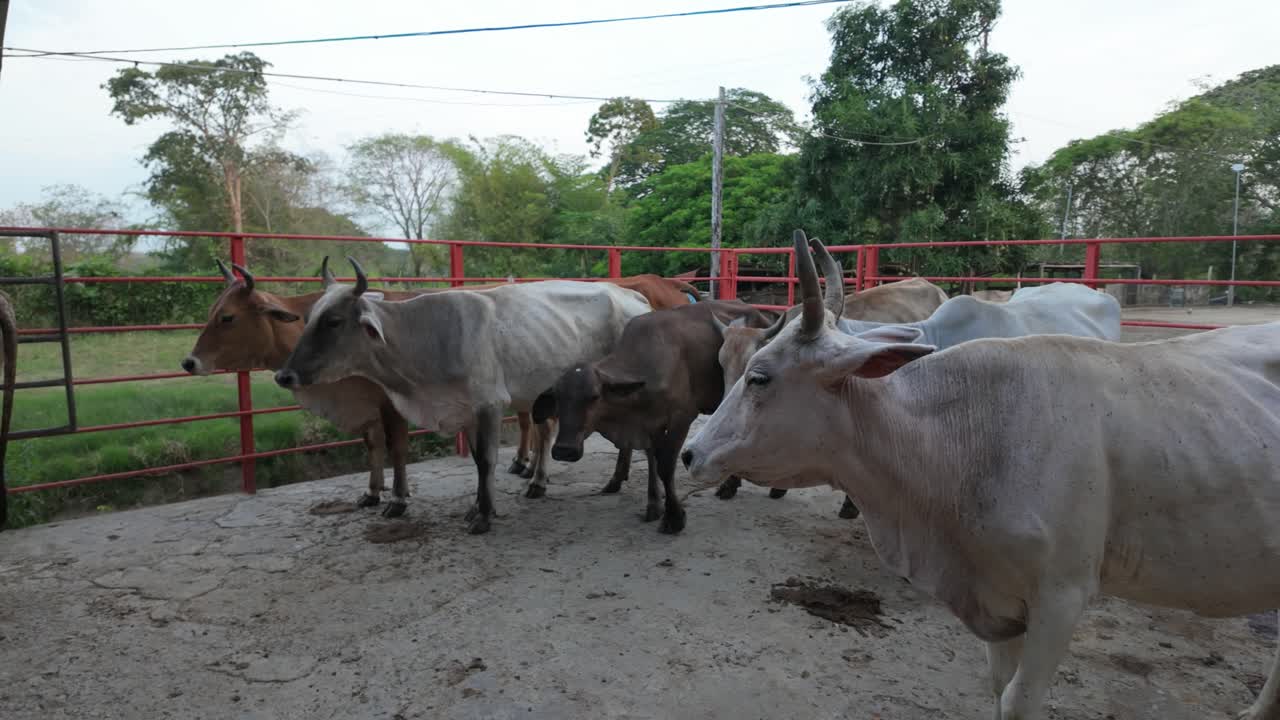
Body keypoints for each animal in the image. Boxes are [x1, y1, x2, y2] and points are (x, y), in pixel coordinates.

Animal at [274, 258, 652, 534]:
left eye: (334, 321)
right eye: (309, 317)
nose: (283, 375)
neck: (430, 338)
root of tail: (636, 298)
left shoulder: (489, 406)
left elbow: (486, 461)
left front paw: (484, 515)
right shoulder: (466, 411)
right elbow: (475, 461)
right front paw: (476, 508)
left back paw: (612, 480)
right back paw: (577, 482)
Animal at [530, 300, 774, 534]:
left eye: (594, 396)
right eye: (558, 398)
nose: (564, 450)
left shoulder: (680, 419)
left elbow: (665, 466)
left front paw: (673, 516)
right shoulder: (650, 424)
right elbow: (653, 461)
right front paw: (654, 504)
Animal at [682, 231, 1280, 720]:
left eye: (759, 377)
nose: (690, 452)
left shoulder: (1062, 597)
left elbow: (1018, 699)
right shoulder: (997, 595)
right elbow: (997, 685)